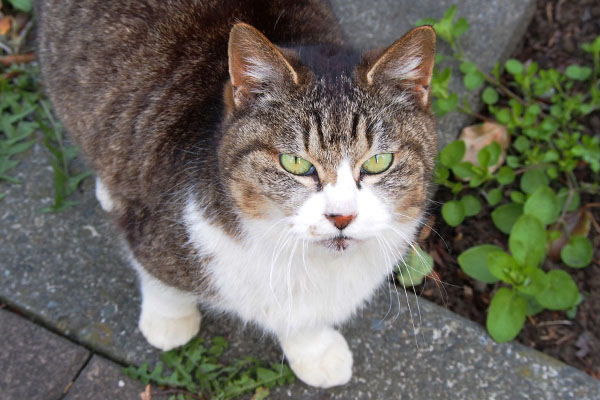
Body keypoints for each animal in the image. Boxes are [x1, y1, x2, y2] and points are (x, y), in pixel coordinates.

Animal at [37, 0, 438, 390]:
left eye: (378, 162)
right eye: (295, 162)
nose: (341, 216)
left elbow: (303, 320)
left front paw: (314, 351)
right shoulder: (155, 224)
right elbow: (159, 277)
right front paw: (169, 320)